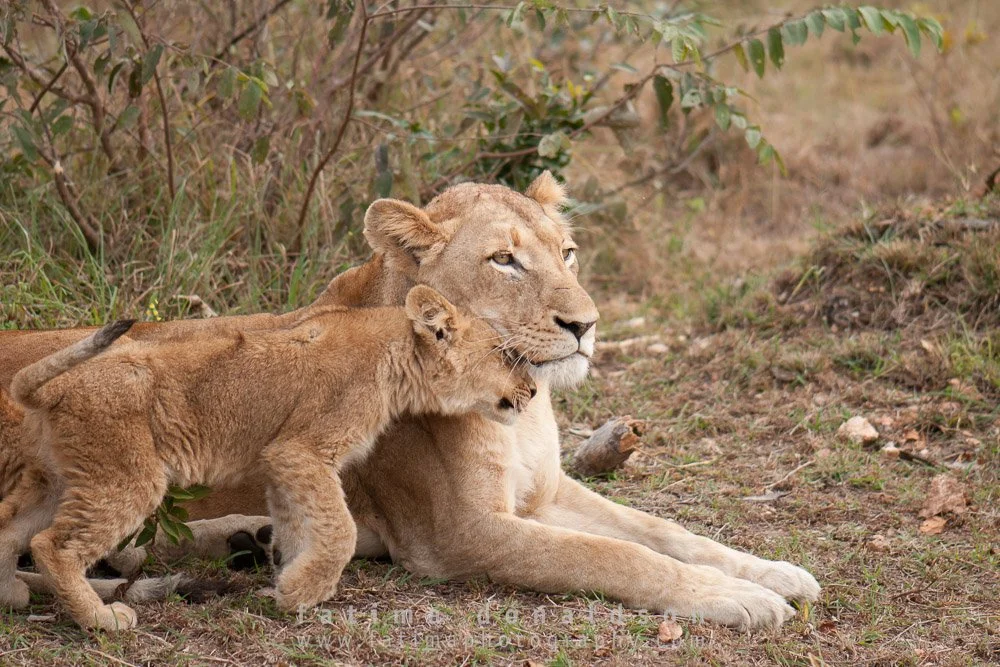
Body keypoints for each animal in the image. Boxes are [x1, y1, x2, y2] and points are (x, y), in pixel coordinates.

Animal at [2, 287, 534, 630]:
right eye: (505, 354)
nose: (531, 391)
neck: (396, 353)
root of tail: (52, 387)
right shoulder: (302, 451)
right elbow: (339, 530)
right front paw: (304, 590)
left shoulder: (279, 463)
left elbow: (296, 527)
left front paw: (287, 590)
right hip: (126, 477)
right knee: (53, 545)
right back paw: (100, 619)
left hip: (58, 481)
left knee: (11, 529)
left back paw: (11, 594)